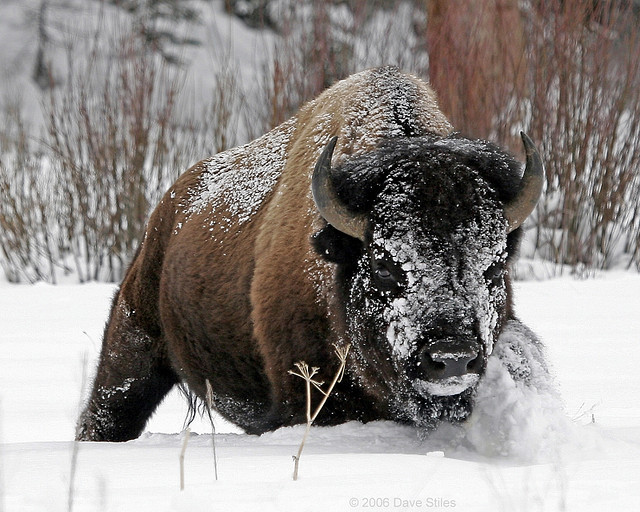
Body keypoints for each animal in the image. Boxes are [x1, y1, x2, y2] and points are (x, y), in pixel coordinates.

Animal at [75, 66, 544, 442]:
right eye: (384, 265)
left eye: (495, 266)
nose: (452, 357)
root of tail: (169, 209)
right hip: (133, 346)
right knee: (110, 405)